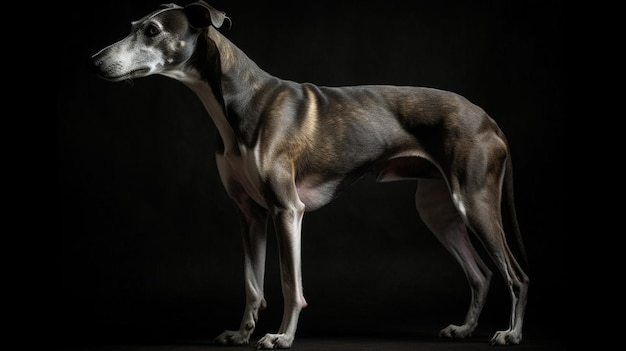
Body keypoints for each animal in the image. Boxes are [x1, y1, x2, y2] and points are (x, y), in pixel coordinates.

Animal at [91, 2, 528, 350]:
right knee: (481, 274)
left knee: (516, 275)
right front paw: (242, 333)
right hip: (438, 210)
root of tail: (488, 118)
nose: (94, 61)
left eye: (152, 30)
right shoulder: (250, 214)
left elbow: (290, 284)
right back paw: (465, 329)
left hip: (474, 201)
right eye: (133, 25)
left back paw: (511, 333)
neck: (238, 100)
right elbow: (252, 283)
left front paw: (282, 337)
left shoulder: (287, 210)